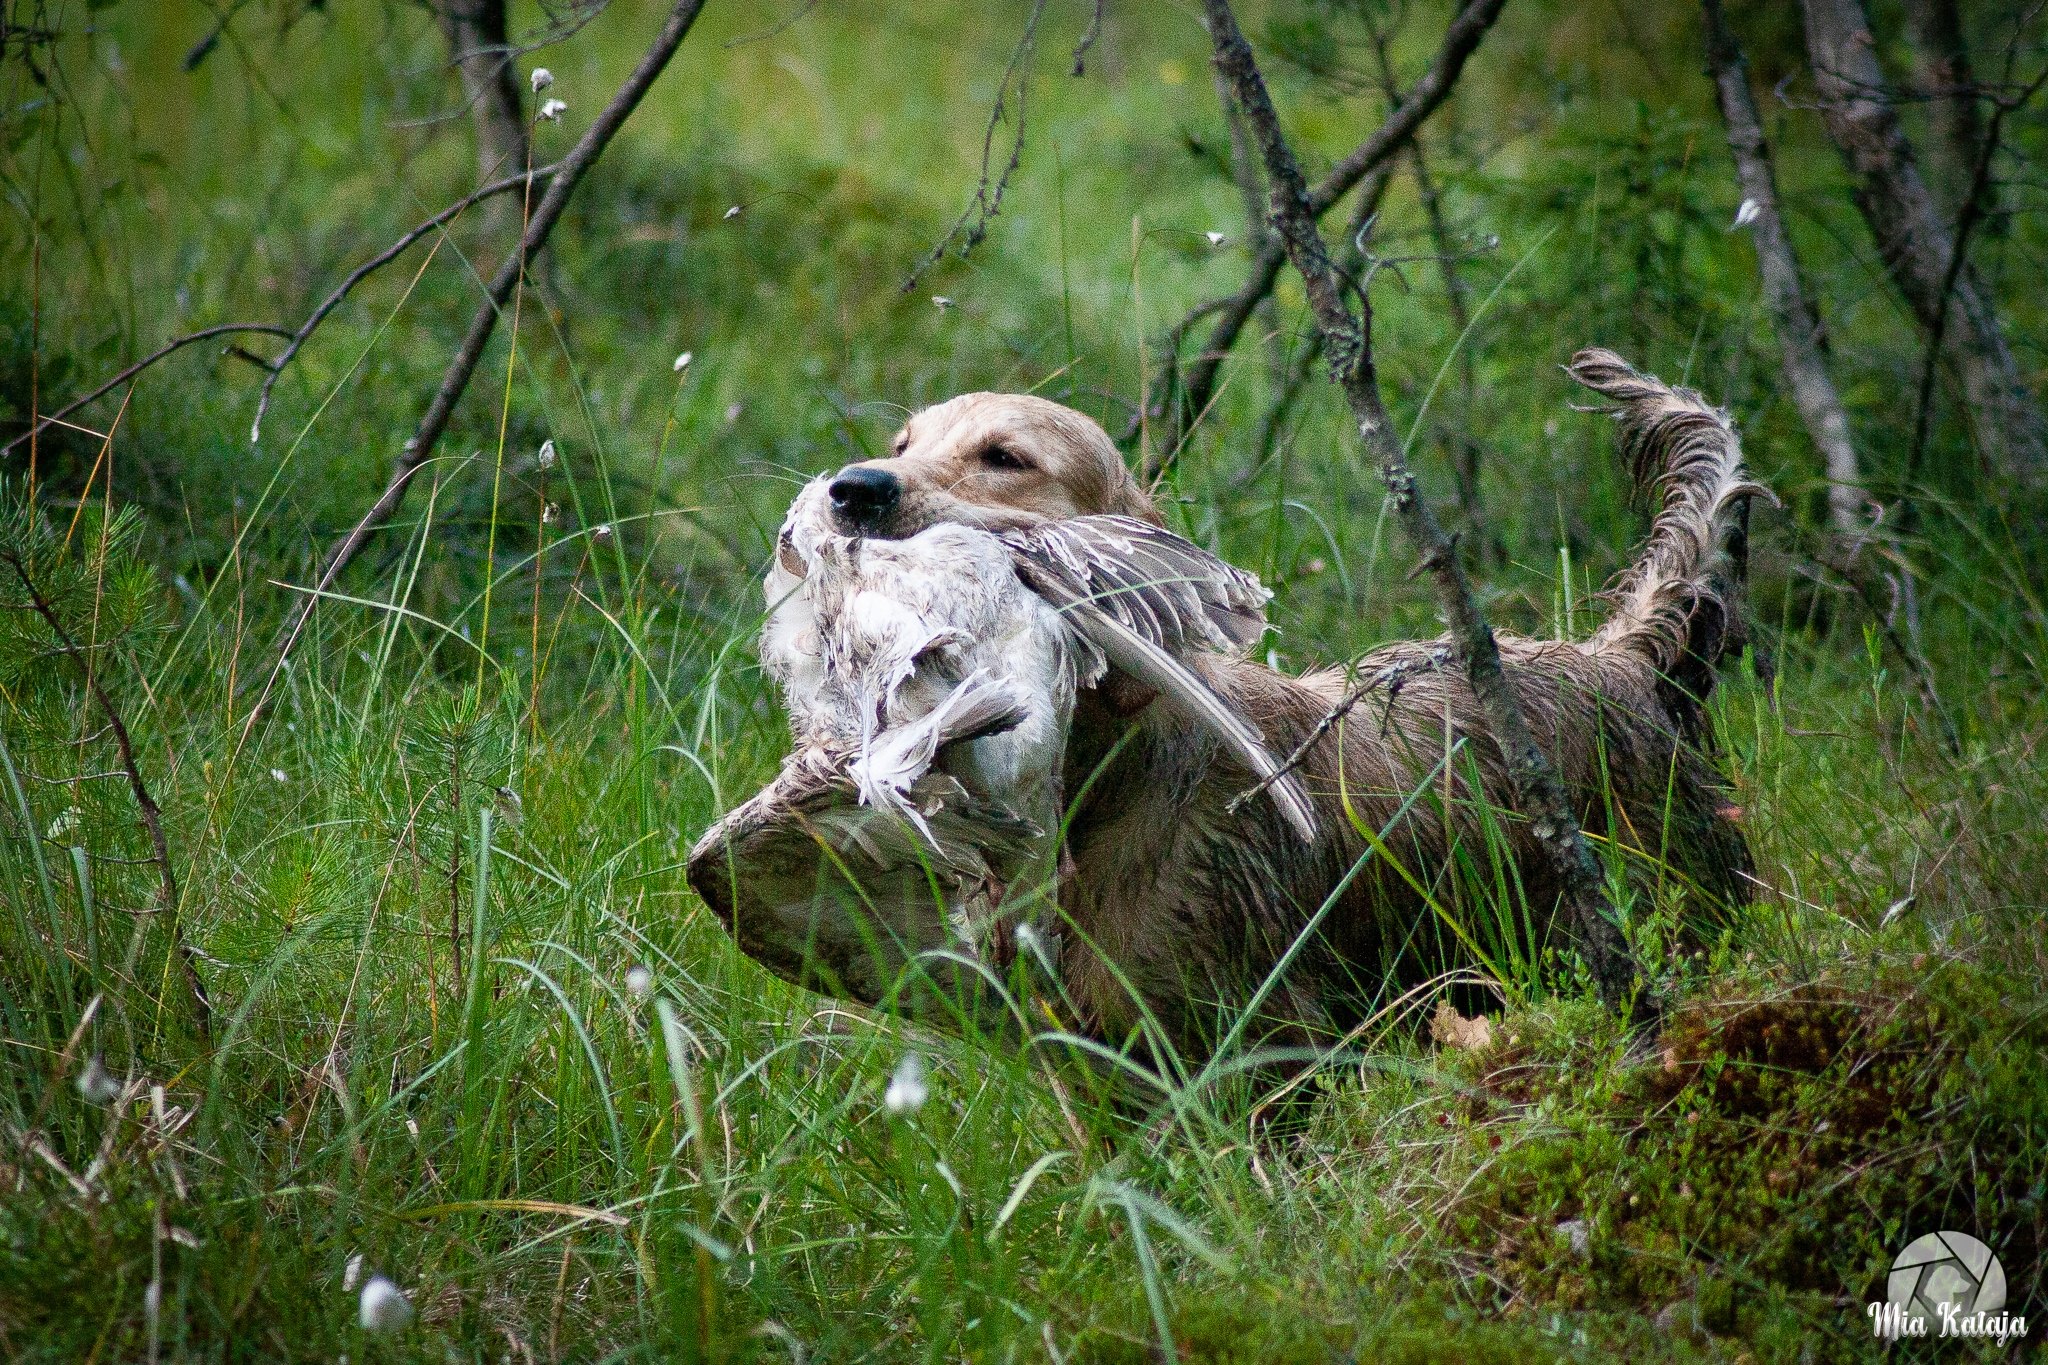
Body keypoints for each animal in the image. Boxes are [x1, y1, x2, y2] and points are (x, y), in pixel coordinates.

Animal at [690, 351, 1762, 1060]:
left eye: (1005, 456)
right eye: (903, 441)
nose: (853, 489)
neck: (1102, 791)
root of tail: (1621, 660)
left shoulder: (1275, 1044)